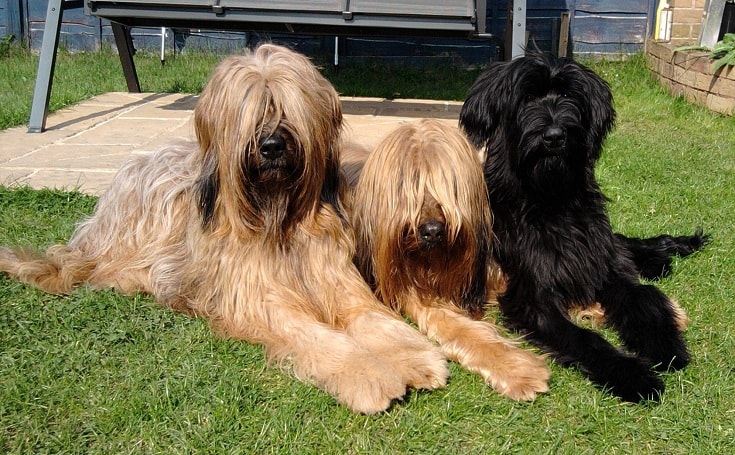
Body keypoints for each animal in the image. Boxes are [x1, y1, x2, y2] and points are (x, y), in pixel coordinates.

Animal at [0, 44, 448, 416]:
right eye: (250, 108)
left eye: (288, 107)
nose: (271, 146)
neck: (278, 220)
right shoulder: (259, 299)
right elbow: (317, 334)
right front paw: (370, 377)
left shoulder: (338, 283)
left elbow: (374, 320)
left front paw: (417, 358)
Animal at [460, 50, 708, 402]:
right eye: (526, 98)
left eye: (569, 96)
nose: (554, 136)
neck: (552, 200)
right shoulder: (534, 297)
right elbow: (584, 338)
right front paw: (631, 374)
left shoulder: (606, 269)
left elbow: (645, 300)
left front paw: (665, 347)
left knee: (622, 242)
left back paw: (660, 256)